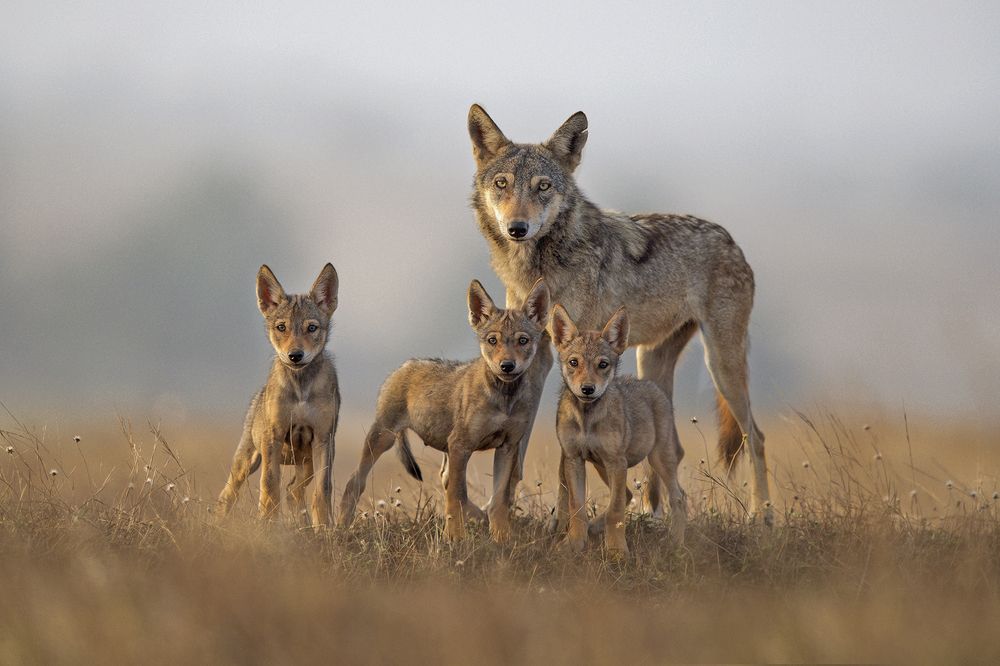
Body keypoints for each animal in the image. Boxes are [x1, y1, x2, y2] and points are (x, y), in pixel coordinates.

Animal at [217, 263, 340, 529]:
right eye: (281, 327)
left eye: (311, 328)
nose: (295, 355)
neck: (301, 388)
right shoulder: (273, 437)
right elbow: (269, 486)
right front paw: (267, 525)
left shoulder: (323, 439)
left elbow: (322, 491)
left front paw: (324, 527)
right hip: (247, 460)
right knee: (228, 493)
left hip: (307, 462)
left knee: (294, 491)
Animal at [338, 279, 549, 543]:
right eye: (493, 341)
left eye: (523, 340)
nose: (507, 366)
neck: (504, 397)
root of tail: (402, 366)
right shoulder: (461, 445)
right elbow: (456, 497)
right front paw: (455, 537)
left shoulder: (507, 447)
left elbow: (498, 500)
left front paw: (502, 538)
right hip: (382, 438)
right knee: (354, 482)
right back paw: (339, 526)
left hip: (443, 449)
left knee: (449, 480)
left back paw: (482, 517)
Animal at [468, 104, 771, 524]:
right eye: (502, 183)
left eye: (543, 187)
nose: (517, 227)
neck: (540, 266)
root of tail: (731, 241)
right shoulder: (535, 354)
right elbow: (520, 441)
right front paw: (500, 509)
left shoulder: (574, 358)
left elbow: (564, 457)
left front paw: (562, 520)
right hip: (651, 364)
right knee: (673, 447)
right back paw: (651, 513)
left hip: (721, 364)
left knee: (754, 436)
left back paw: (762, 514)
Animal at [550, 304, 686, 554]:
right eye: (574, 362)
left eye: (603, 364)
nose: (587, 389)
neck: (587, 418)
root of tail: (653, 386)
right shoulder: (574, 459)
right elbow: (577, 508)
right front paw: (573, 544)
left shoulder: (616, 462)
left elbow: (615, 511)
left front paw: (617, 551)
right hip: (601, 465)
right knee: (629, 494)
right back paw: (593, 528)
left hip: (657, 459)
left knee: (679, 498)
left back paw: (676, 543)